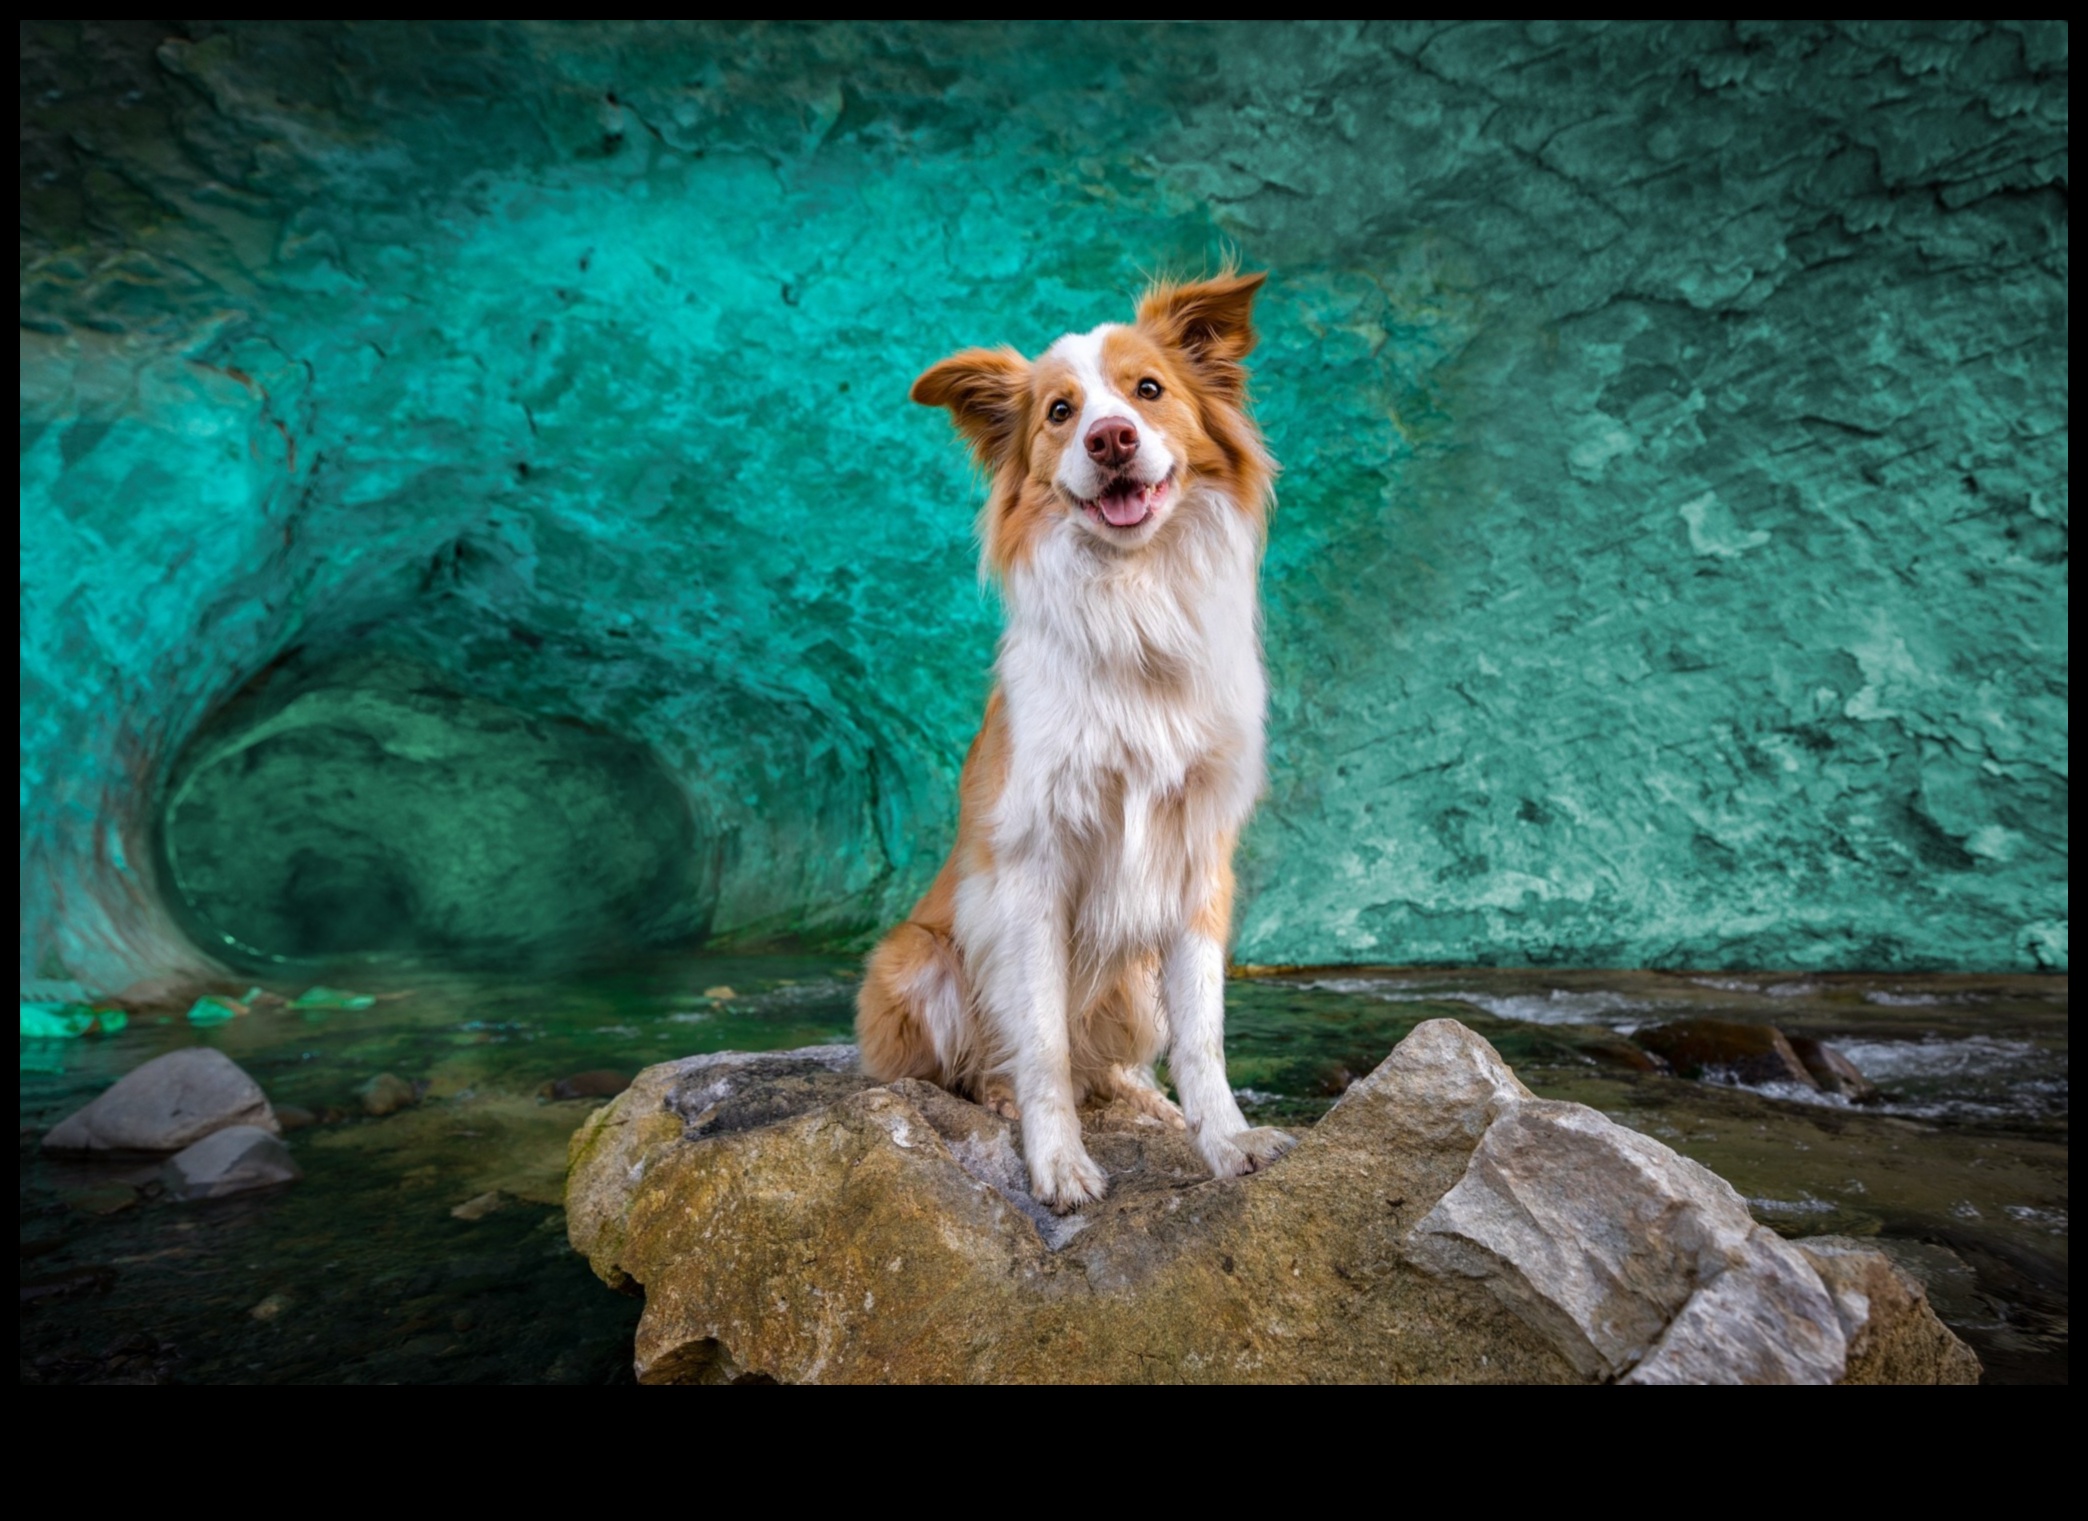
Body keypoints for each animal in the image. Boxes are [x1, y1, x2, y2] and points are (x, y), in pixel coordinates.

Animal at [856, 267, 1294, 1203]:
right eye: (1060, 411)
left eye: (1149, 390)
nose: (1111, 437)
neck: (1135, 605)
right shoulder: (1033, 864)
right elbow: (1044, 1041)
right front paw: (1056, 1161)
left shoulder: (1198, 860)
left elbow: (1201, 1034)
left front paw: (1225, 1140)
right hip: (916, 957)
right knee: (982, 1061)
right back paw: (996, 1091)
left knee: (1114, 1060)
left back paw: (1142, 1096)